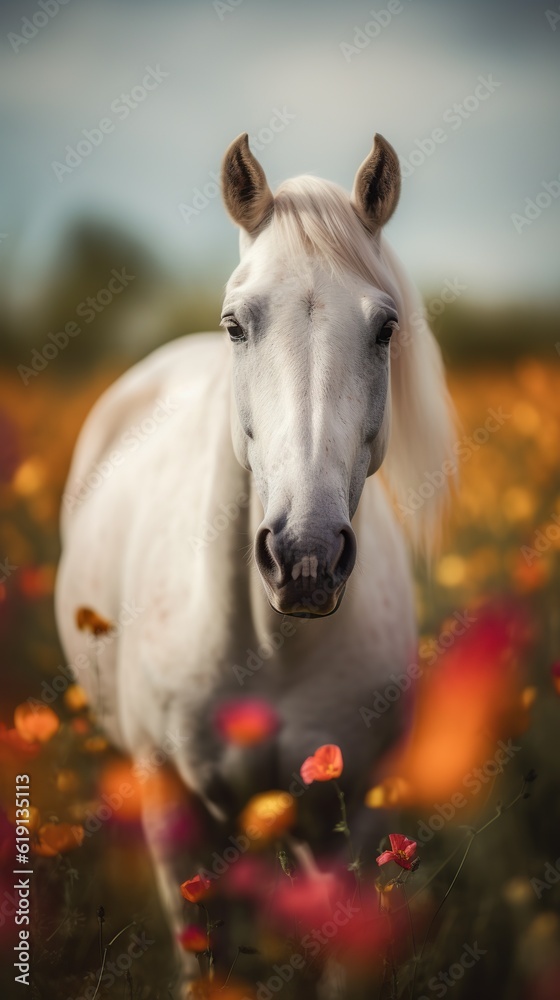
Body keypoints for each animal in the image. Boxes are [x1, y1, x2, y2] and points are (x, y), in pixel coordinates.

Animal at [55, 132, 455, 995]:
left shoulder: (355, 813)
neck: (271, 648)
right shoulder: (175, 813)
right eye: (237, 324)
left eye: (385, 329)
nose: (305, 556)